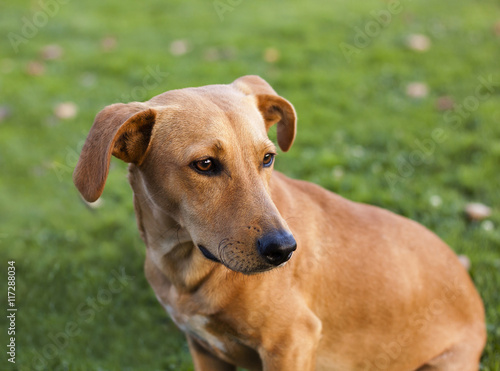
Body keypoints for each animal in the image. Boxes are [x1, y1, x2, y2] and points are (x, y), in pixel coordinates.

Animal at [73, 76, 484, 371]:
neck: (187, 269)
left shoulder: (290, 342)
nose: (285, 250)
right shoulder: (205, 351)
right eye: (205, 164)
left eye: (267, 158)